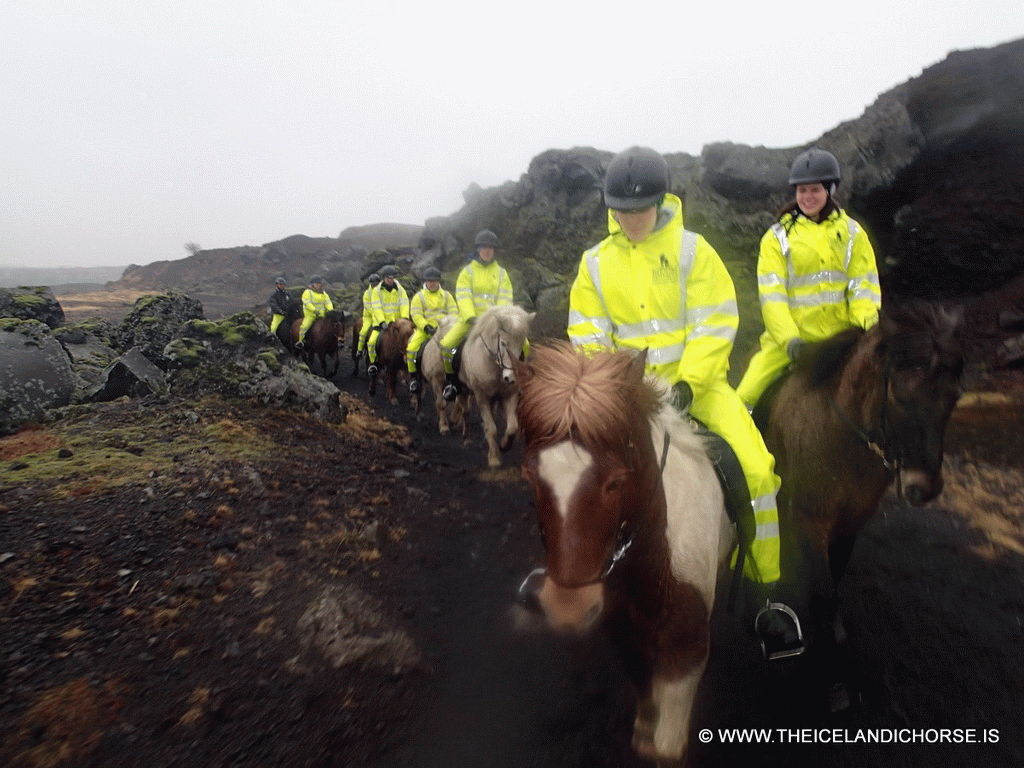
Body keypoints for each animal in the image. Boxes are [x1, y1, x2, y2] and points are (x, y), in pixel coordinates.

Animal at [419, 307, 536, 468]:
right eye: (503, 343)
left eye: (521, 344)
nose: (511, 378)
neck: (493, 365)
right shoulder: (482, 397)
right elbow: (491, 428)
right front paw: (493, 459)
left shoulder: (509, 395)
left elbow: (512, 427)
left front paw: (504, 445)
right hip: (459, 387)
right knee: (461, 410)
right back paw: (460, 434)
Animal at [516, 346, 733, 765]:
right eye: (530, 478)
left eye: (615, 482)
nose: (568, 608)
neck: (654, 561)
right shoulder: (622, 632)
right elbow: (645, 704)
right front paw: (644, 730)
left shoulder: (687, 649)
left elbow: (667, 748)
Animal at [753, 299, 958, 708]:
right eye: (899, 395)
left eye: (954, 398)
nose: (923, 488)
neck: (839, 437)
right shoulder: (810, 525)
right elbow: (824, 596)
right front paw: (832, 679)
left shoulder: (848, 527)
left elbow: (831, 593)